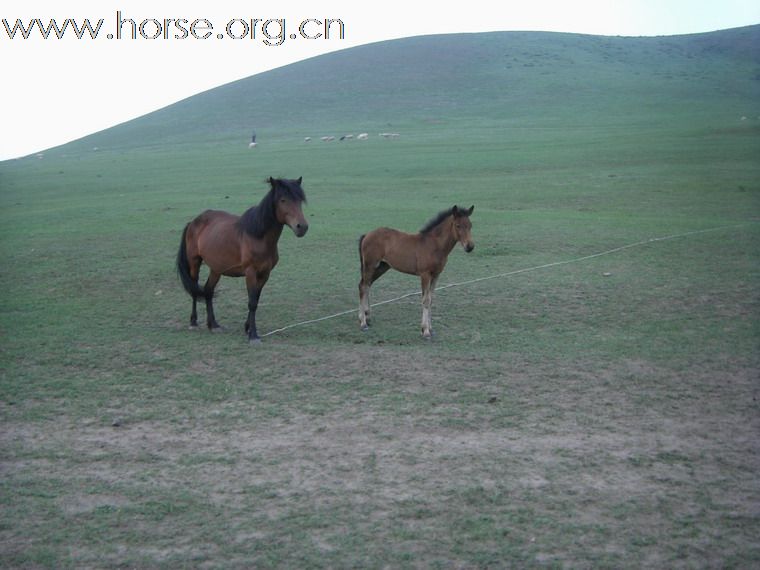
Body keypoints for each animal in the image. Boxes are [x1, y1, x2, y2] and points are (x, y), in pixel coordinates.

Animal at [177, 175, 308, 342]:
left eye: (299, 200)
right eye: (283, 200)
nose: (302, 227)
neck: (257, 236)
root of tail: (193, 222)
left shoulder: (265, 274)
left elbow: (256, 299)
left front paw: (248, 328)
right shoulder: (250, 272)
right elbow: (251, 302)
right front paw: (253, 335)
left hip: (216, 269)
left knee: (208, 290)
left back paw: (213, 325)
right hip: (195, 263)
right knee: (194, 289)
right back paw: (193, 322)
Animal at [358, 204, 476, 338]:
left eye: (470, 225)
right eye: (458, 225)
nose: (470, 246)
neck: (434, 245)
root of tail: (367, 234)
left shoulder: (436, 275)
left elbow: (431, 299)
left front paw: (430, 328)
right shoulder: (425, 275)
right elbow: (425, 300)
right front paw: (425, 331)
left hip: (382, 266)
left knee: (367, 285)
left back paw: (367, 317)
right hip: (370, 265)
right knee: (363, 286)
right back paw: (363, 323)